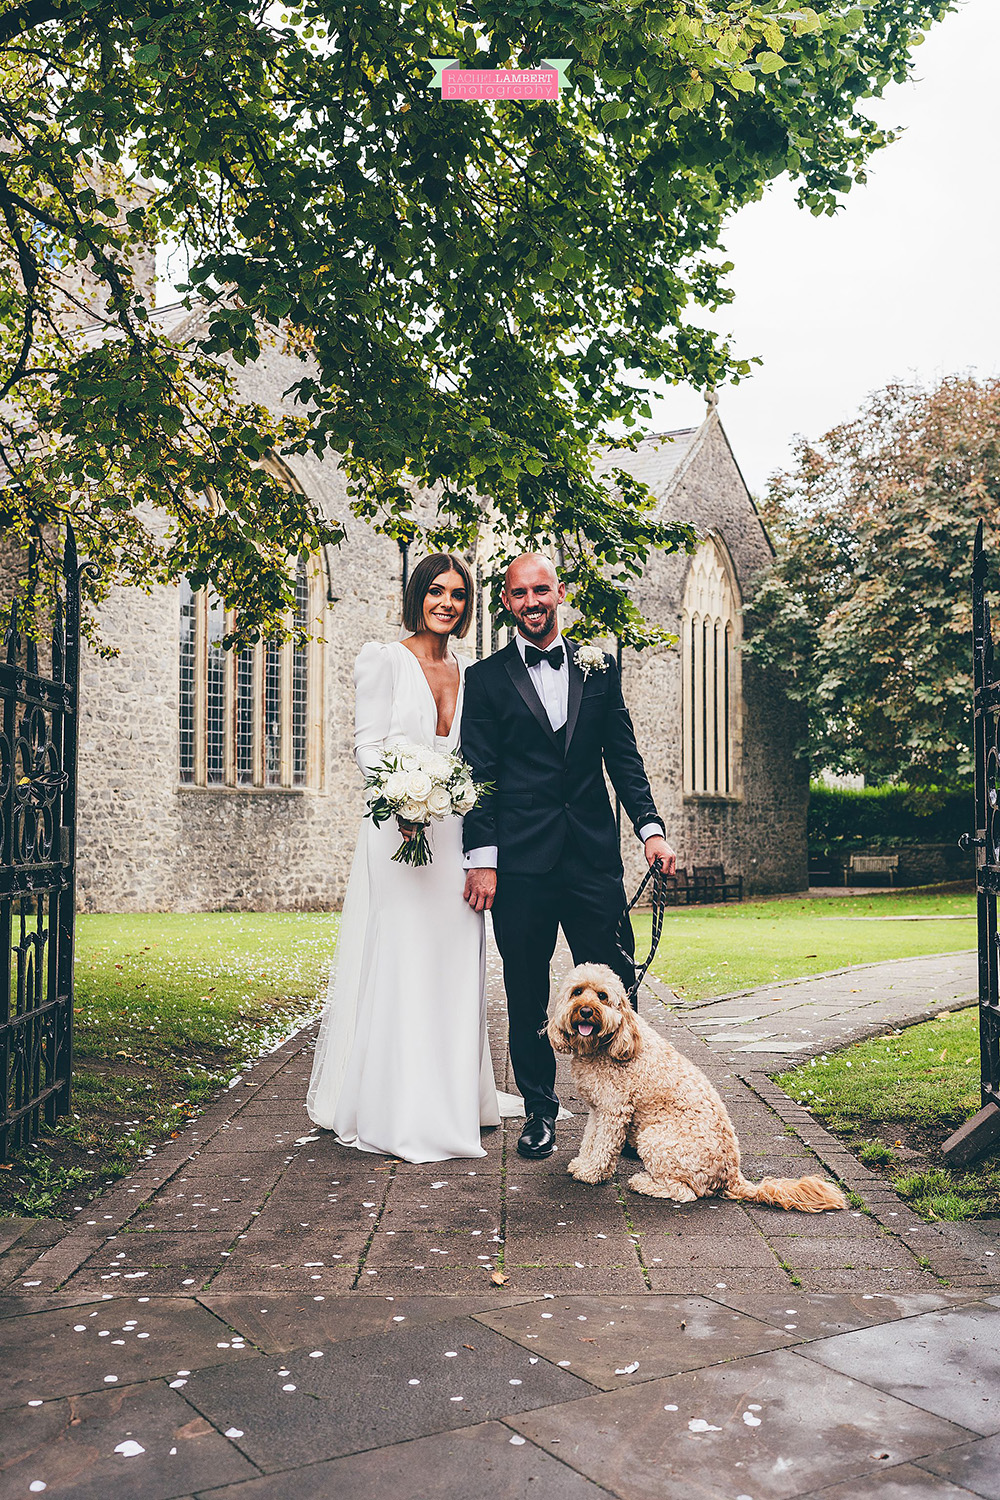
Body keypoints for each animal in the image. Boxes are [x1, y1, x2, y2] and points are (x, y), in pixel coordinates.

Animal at [551, 966, 851, 1212]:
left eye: (602, 996)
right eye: (577, 992)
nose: (586, 1010)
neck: (609, 1044)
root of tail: (732, 1177)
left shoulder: (614, 1110)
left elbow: (603, 1146)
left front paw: (592, 1173)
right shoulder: (597, 1109)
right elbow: (590, 1140)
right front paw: (583, 1164)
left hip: (655, 1139)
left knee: (684, 1193)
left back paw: (644, 1182)